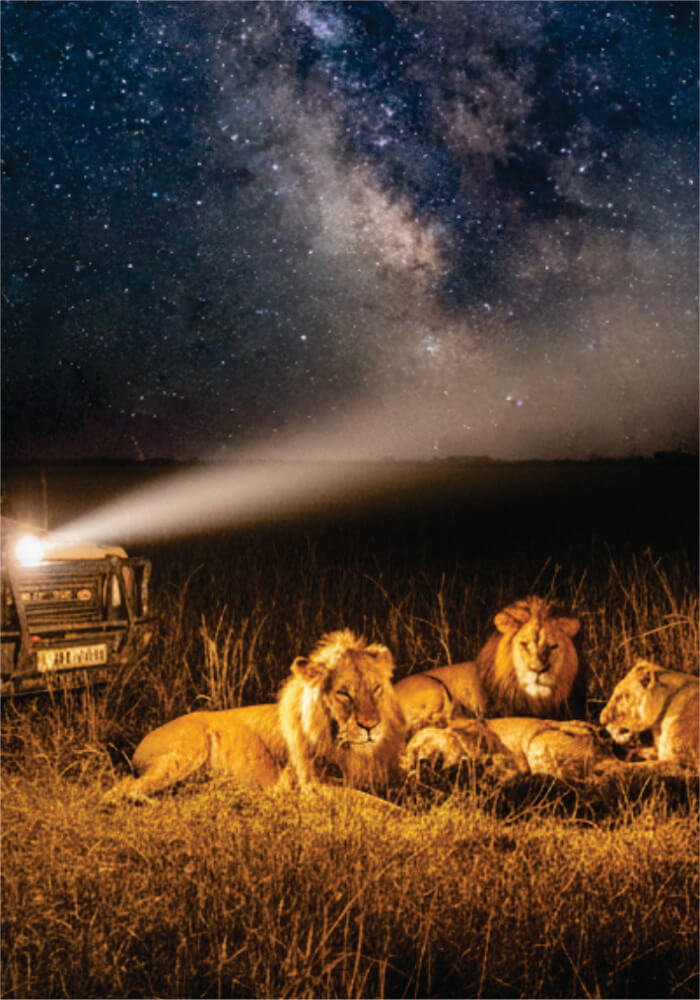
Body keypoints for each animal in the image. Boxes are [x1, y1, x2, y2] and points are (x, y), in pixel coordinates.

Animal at [104, 629, 407, 802]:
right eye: (344, 694)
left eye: (376, 689)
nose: (370, 726)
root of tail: (139, 744)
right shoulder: (312, 785)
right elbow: (377, 805)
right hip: (186, 750)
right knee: (121, 790)